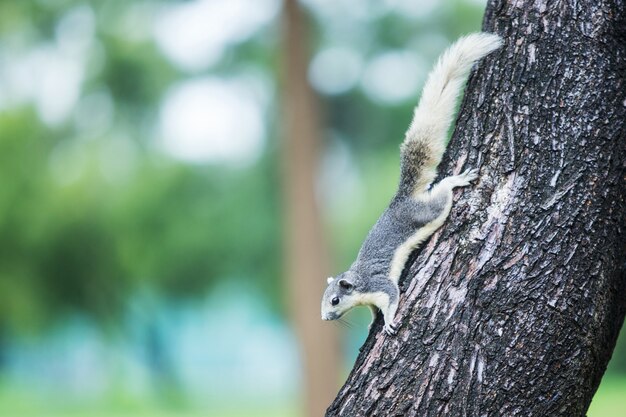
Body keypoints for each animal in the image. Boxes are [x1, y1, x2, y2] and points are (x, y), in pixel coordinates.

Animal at [320, 31, 500, 334]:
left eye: (334, 300)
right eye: (324, 300)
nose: (324, 318)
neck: (358, 282)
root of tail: (402, 198)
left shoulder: (380, 284)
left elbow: (392, 297)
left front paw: (389, 321)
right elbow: (373, 309)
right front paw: (372, 322)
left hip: (427, 213)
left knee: (441, 197)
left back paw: (455, 180)